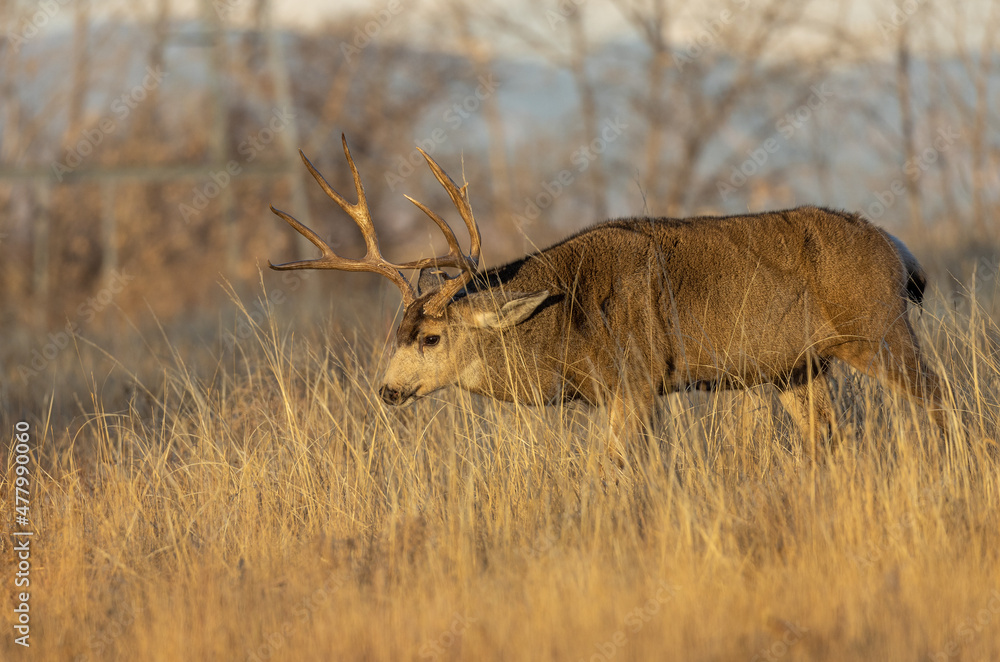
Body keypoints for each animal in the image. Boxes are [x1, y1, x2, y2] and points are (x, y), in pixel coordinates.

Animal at [268, 135, 947, 461]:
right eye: (395, 336)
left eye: (431, 337)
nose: (388, 390)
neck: (568, 320)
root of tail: (894, 247)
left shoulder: (638, 379)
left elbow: (609, 470)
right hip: (797, 368)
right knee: (829, 438)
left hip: (880, 330)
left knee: (940, 399)